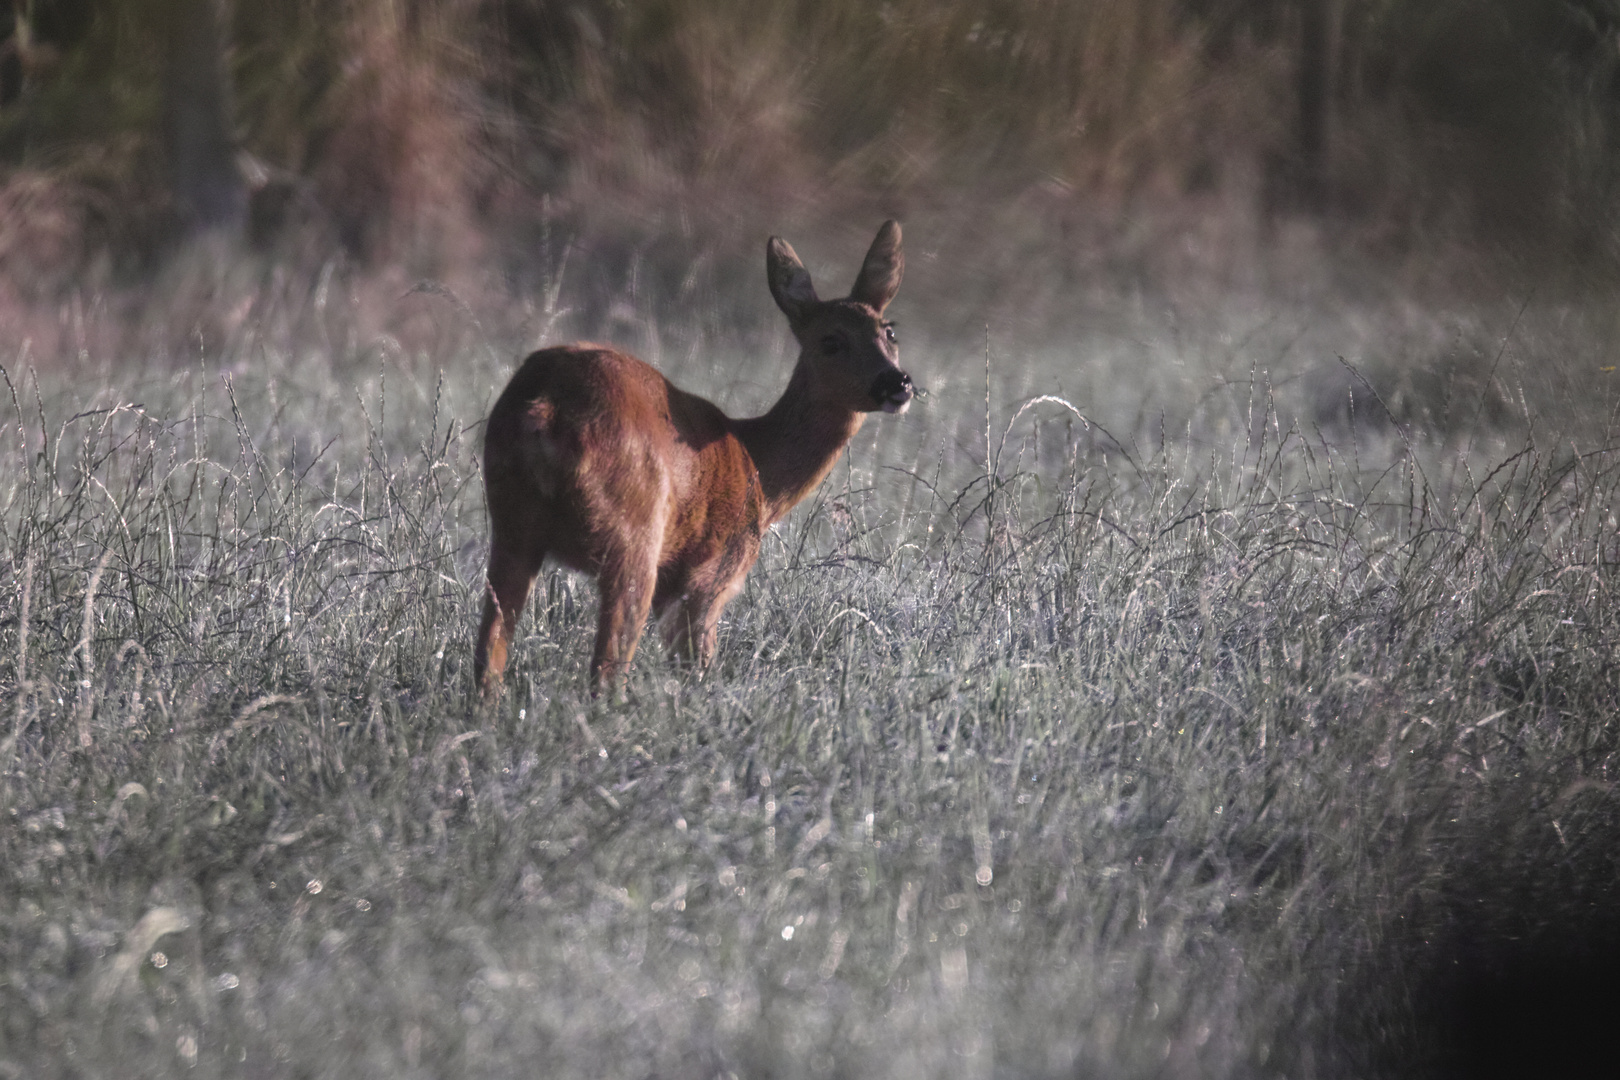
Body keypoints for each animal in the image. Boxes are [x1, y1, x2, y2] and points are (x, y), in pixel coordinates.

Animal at [476, 216, 913, 702]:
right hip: (634, 534)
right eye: (831, 341)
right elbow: (697, 667)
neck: (759, 468)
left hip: (512, 524)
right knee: (606, 670)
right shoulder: (710, 575)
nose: (896, 382)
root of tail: (545, 408)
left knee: (490, 652)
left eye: (889, 331)